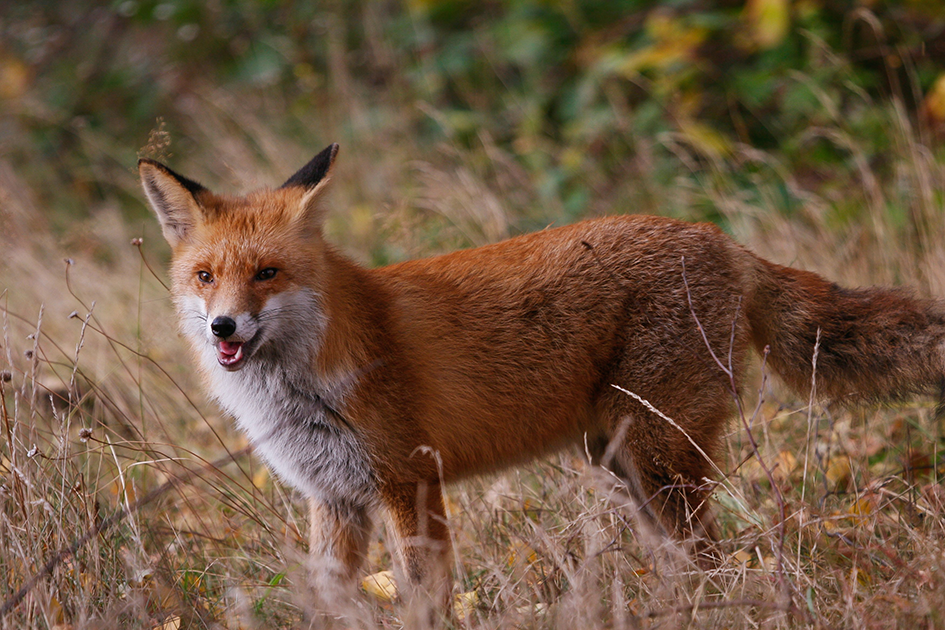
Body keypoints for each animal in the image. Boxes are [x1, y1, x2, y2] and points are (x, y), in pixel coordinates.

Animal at [136, 144, 944, 616]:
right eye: (205, 277)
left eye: (267, 274)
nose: (223, 328)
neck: (301, 383)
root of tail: (722, 239)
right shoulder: (334, 500)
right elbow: (330, 603)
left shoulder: (409, 482)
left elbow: (425, 601)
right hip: (623, 461)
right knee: (688, 562)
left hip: (657, 458)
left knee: (712, 561)